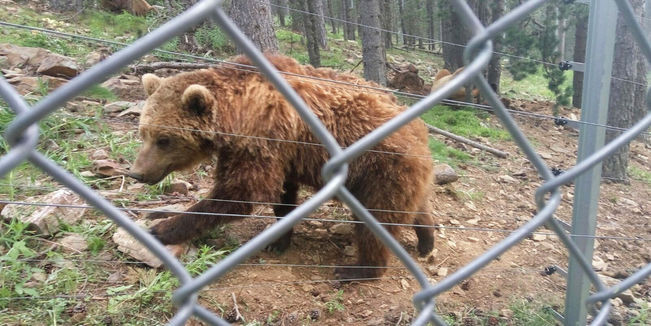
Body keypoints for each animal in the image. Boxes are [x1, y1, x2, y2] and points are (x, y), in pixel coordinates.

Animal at [126, 54, 432, 278]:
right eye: (143, 132)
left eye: (164, 139)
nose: (137, 172)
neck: (233, 114)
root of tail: (420, 131)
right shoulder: (283, 151)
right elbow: (283, 196)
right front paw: (279, 240)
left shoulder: (261, 136)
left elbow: (240, 193)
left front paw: (163, 228)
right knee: (414, 207)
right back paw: (426, 239)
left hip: (381, 167)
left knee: (376, 220)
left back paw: (358, 270)